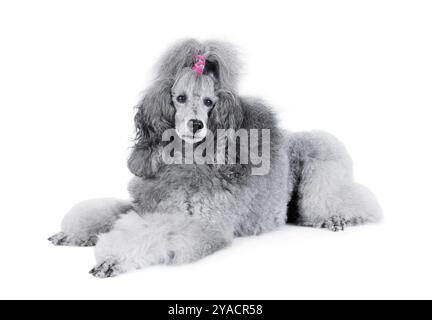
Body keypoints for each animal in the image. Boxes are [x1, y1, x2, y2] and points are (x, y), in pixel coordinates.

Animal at [49, 38, 384, 276]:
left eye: (210, 102)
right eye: (179, 98)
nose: (196, 124)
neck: (188, 160)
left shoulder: (205, 225)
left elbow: (154, 232)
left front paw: (113, 258)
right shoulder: (146, 205)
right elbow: (106, 212)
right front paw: (73, 233)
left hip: (322, 152)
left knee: (347, 199)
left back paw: (335, 216)